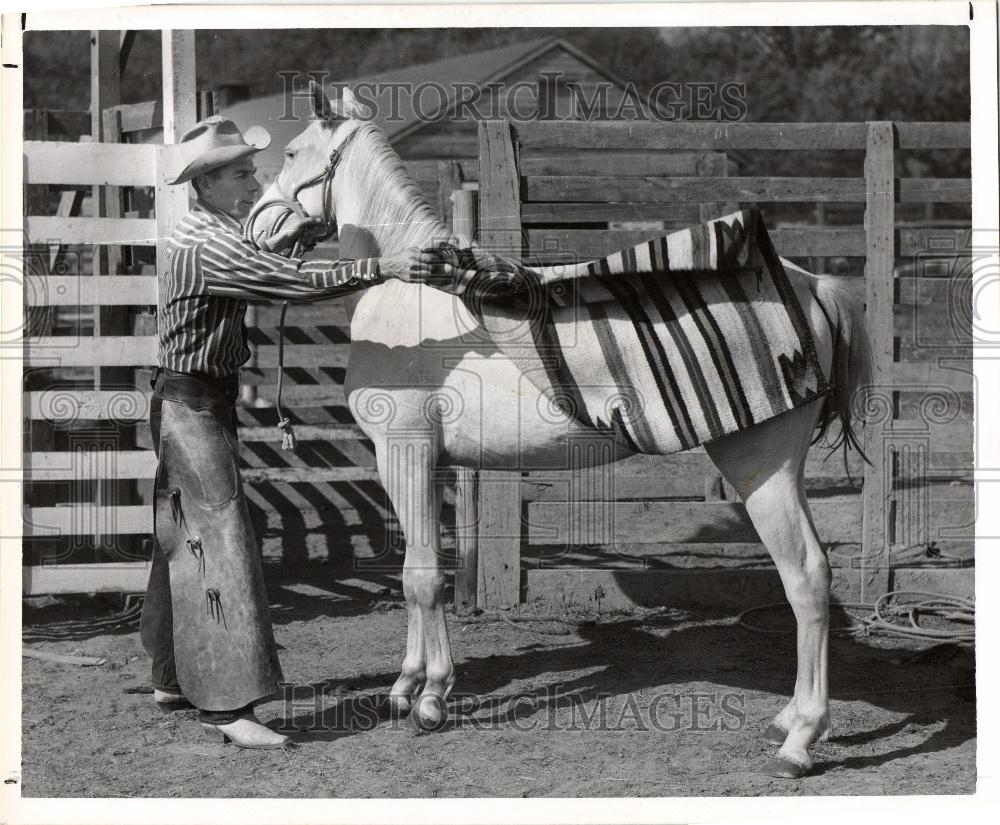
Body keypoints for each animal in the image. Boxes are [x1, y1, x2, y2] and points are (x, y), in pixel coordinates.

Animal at [246, 80, 872, 776]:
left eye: (293, 151)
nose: (256, 225)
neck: (408, 296)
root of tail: (813, 285)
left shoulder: (401, 452)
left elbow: (421, 577)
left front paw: (430, 699)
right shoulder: (425, 461)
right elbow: (418, 569)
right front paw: (407, 685)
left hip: (760, 465)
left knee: (806, 577)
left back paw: (799, 741)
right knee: (813, 576)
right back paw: (788, 721)